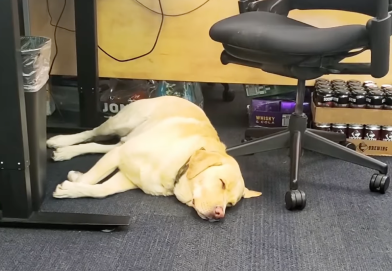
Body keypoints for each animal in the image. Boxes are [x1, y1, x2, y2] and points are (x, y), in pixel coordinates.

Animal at [46, 96, 260, 222]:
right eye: (222, 182)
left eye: (230, 205)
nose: (219, 214)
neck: (178, 167)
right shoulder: (121, 156)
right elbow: (91, 178)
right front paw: (73, 185)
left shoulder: (127, 177)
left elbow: (101, 190)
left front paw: (73, 185)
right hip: (119, 124)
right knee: (91, 132)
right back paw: (60, 140)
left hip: (125, 140)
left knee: (101, 146)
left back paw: (65, 152)